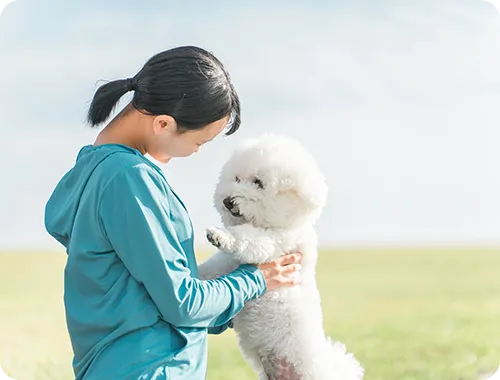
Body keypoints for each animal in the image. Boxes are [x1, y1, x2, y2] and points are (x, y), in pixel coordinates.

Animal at [197, 135, 366, 378]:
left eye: (258, 182)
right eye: (237, 178)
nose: (228, 201)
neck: (274, 223)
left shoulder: (275, 243)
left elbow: (248, 239)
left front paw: (220, 236)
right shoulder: (226, 263)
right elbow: (209, 271)